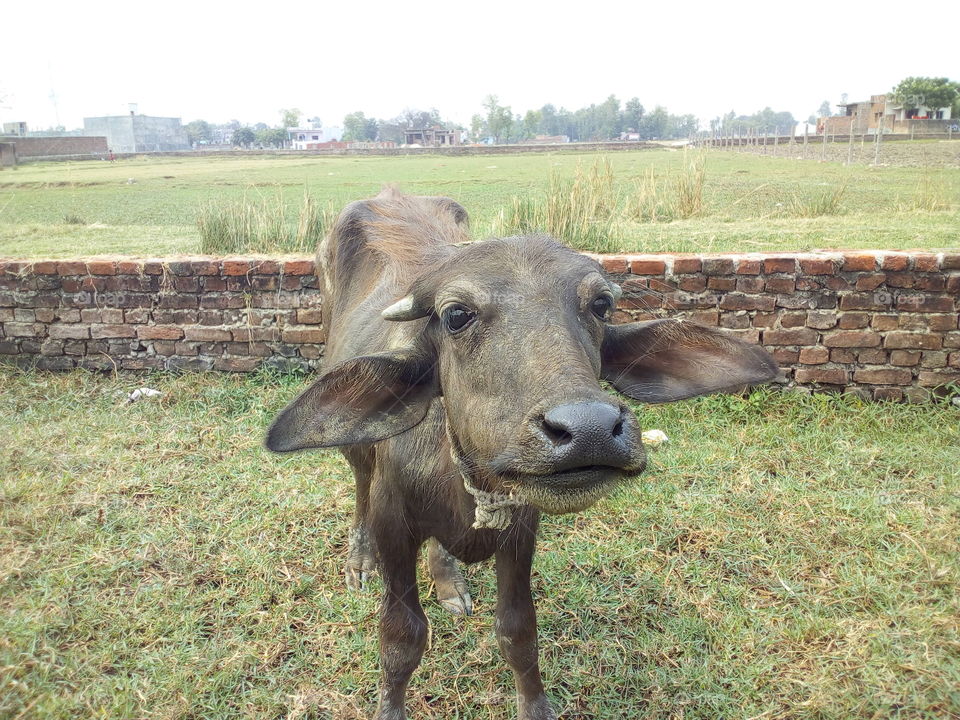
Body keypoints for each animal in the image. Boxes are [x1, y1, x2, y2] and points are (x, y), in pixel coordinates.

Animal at [266, 188, 778, 719]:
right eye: (456, 315)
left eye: (600, 305)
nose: (590, 429)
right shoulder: (394, 527)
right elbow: (401, 639)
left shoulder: (521, 528)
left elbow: (518, 631)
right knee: (359, 479)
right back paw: (360, 560)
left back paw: (449, 581)